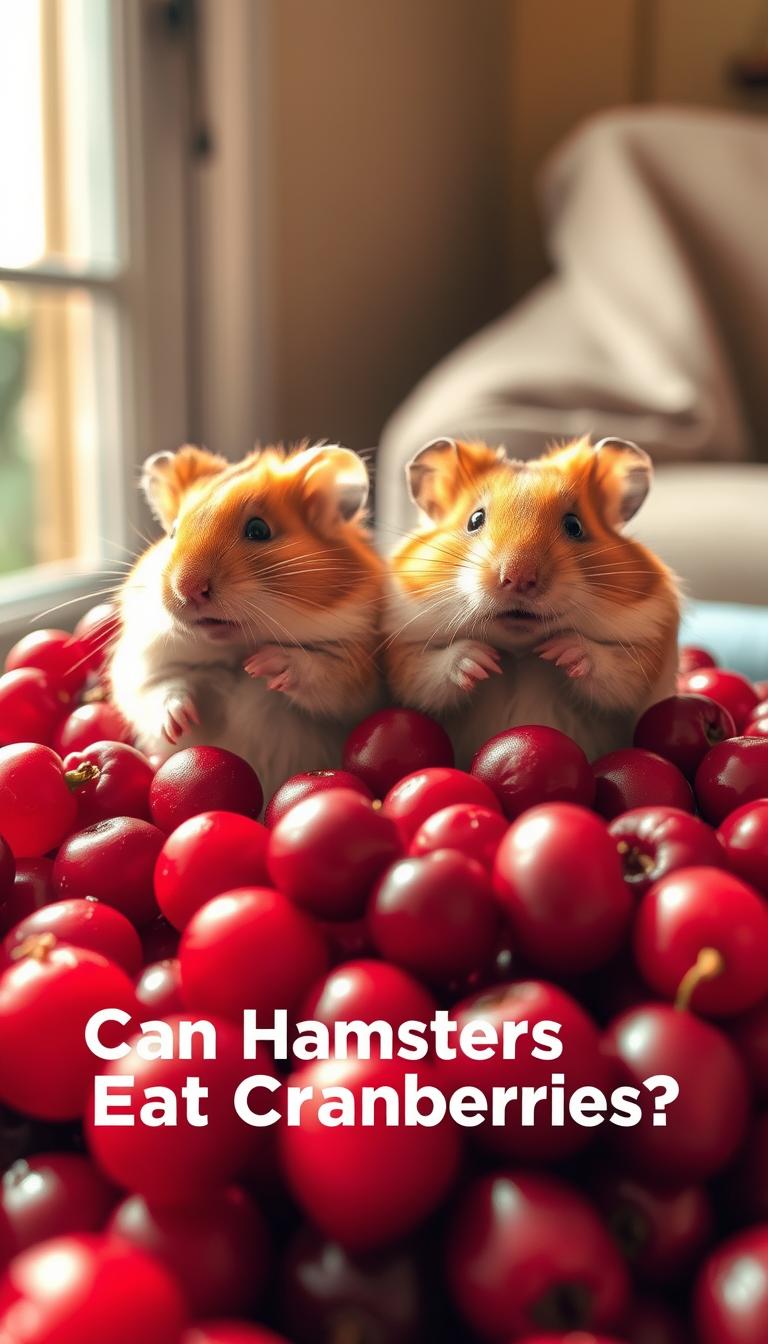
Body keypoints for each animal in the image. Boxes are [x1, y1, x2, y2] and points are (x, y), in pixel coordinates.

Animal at [110, 442, 383, 802]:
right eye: (171, 533)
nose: (187, 589)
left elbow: (318, 671)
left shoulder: (356, 676)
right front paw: (180, 721)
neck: (235, 648)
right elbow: (161, 688)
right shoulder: (142, 668)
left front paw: (263, 664)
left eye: (258, 530)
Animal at [384, 435, 680, 764]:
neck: (520, 653)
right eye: (475, 520)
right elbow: (430, 672)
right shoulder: (405, 655)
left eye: (574, 526)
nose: (518, 578)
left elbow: (612, 671)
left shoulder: (643, 655)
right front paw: (482, 660)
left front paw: (560, 651)